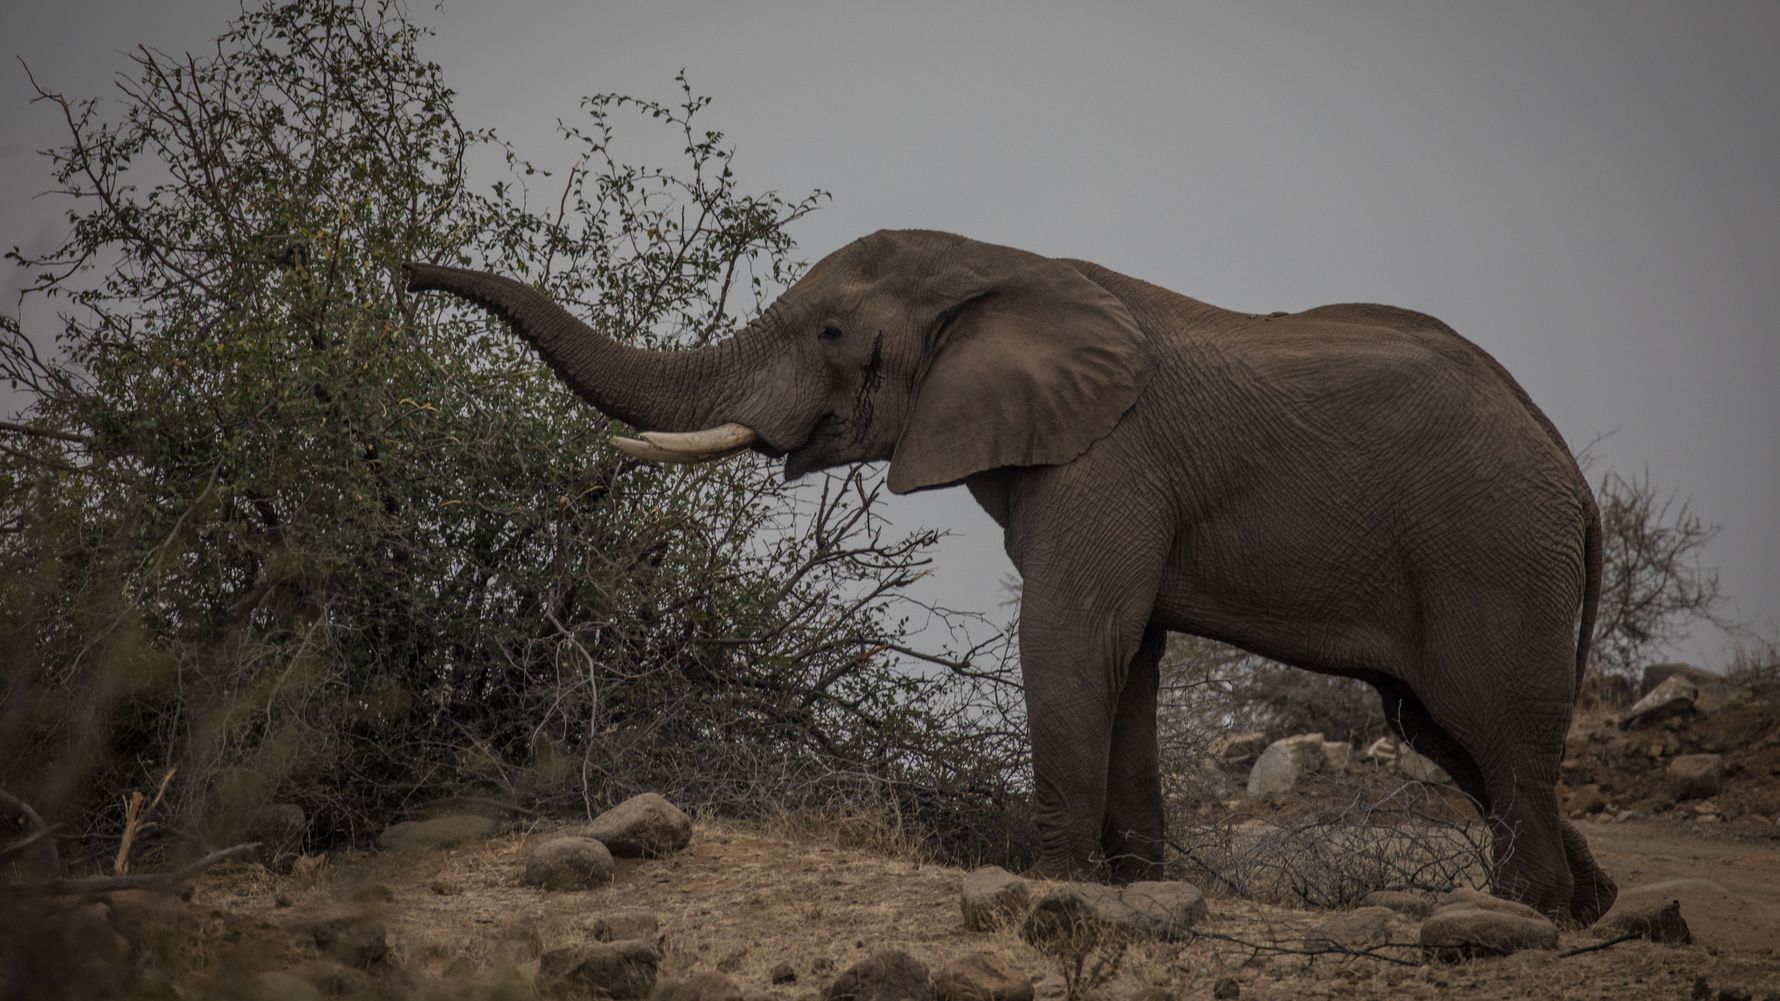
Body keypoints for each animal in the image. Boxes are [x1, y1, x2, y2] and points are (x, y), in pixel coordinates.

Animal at [406, 228, 1617, 925]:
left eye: (833, 331)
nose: (406, 270)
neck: (1001, 269)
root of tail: (1574, 471)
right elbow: (1128, 660)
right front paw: (1134, 888)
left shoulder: (1107, 459)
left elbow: (1072, 635)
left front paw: (1051, 887)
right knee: (1448, 732)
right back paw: (1587, 904)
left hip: (1495, 552)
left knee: (1492, 722)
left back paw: (1527, 912)